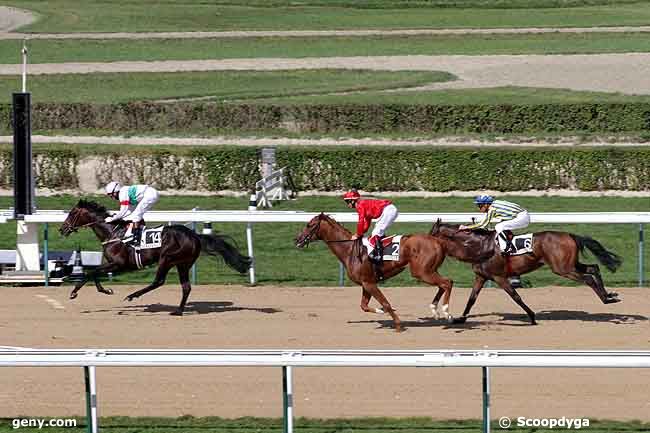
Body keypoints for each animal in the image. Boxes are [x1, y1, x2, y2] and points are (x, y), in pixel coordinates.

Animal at [58, 199, 251, 314]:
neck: (113, 232)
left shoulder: (119, 264)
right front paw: (104, 290)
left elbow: (91, 272)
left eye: (72, 213)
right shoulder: (113, 264)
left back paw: (133, 296)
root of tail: (194, 235)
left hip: (167, 258)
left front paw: (75, 292)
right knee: (186, 287)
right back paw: (178, 311)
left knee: (159, 281)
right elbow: (94, 273)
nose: (62, 229)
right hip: (183, 263)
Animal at [294, 213, 450, 330]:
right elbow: (364, 306)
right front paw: (380, 311)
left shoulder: (370, 283)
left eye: (309, 225)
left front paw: (398, 325)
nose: (297, 239)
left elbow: (385, 303)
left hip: (422, 272)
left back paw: (446, 312)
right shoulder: (366, 283)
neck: (350, 250)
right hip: (429, 271)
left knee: (447, 282)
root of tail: (437, 240)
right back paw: (436, 310)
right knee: (443, 284)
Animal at [428, 219, 620, 324]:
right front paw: (460, 319)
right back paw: (609, 296)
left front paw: (532, 317)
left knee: (588, 278)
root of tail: (570, 235)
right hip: (570, 264)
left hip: (563, 268)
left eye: (431, 233)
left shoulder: (499, 276)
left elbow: (516, 296)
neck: (479, 246)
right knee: (593, 268)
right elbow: (471, 299)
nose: (425, 244)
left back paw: (606, 299)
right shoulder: (481, 276)